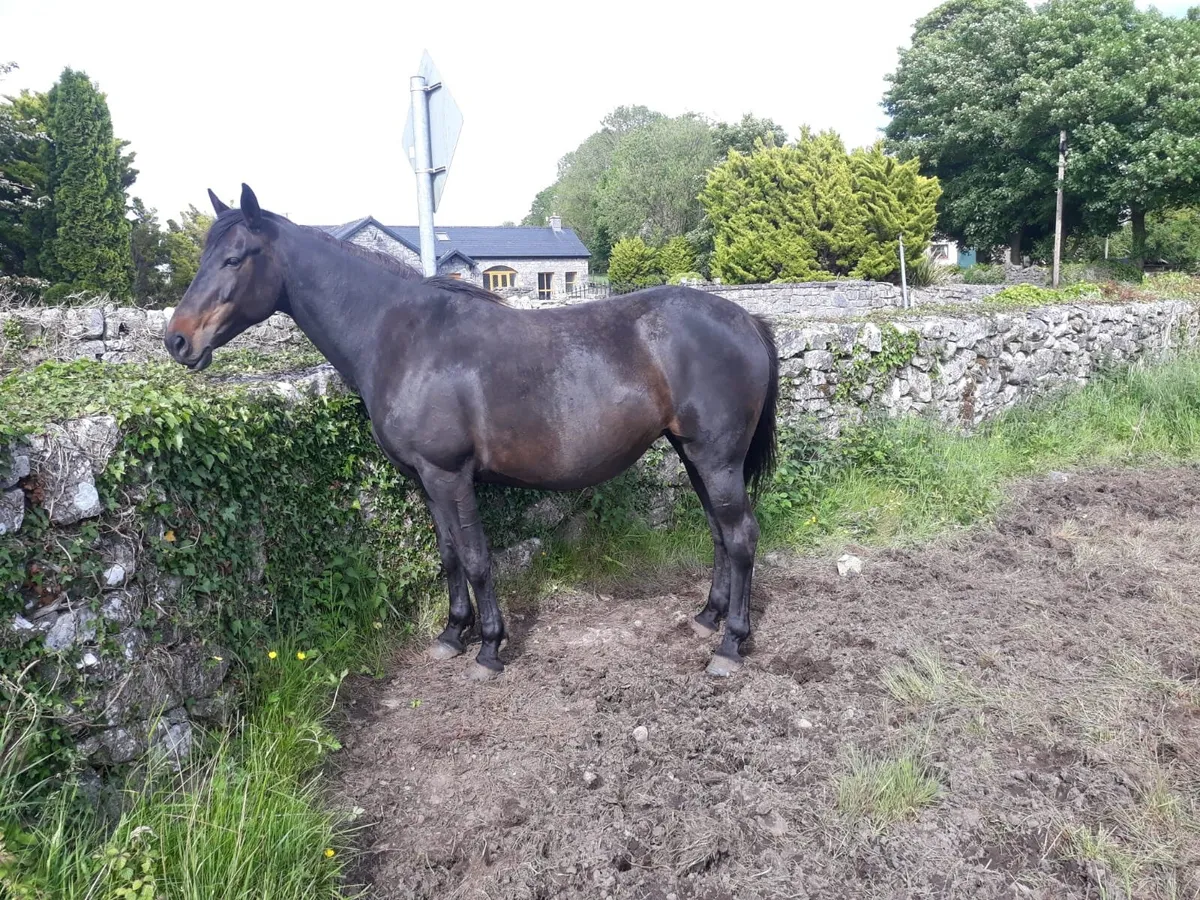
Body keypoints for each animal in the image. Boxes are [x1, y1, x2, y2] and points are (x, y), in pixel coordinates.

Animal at [165, 184, 779, 681]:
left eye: (235, 258)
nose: (177, 340)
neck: (402, 337)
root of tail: (746, 320)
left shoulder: (450, 474)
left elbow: (478, 557)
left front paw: (488, 648)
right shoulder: (424, 479)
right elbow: (449, 557)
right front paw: (450, 635)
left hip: (717, 459)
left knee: (741, 536)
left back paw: (730, 644)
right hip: (693, 455)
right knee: (718, 533)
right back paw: (707, 617)